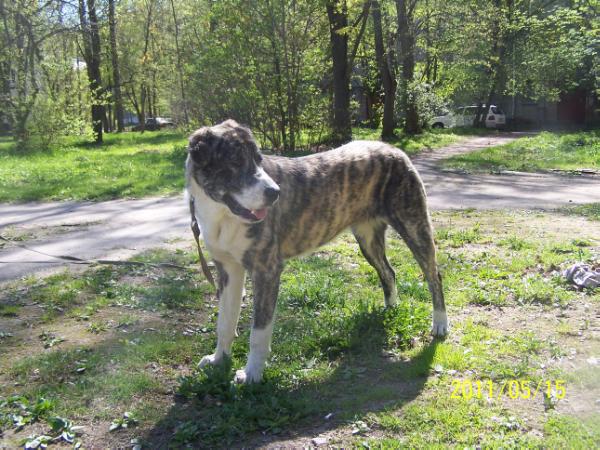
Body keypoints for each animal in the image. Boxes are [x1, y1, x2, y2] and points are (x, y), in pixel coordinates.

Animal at [185, 118, 448, 384]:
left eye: (259, 159)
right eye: (236, 161)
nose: (275, 193)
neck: (221, 212)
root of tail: (393, 149)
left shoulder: (266, 271)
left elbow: (259, 332)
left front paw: (252, 374)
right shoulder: (229, 270)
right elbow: (225, 322)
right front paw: (219, 360)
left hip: (414, 225)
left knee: (433, 275)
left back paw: (439, 324)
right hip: (368, 238)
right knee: (388, 272)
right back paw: (391, 309)